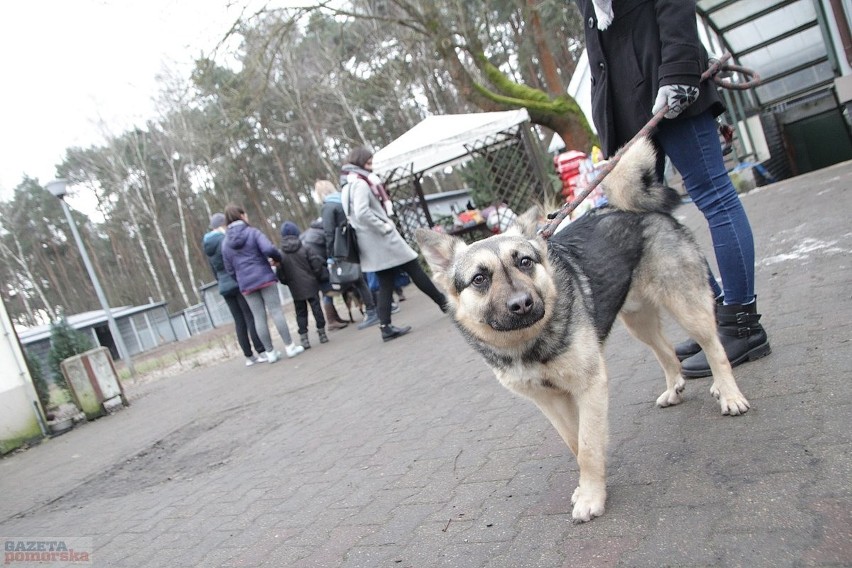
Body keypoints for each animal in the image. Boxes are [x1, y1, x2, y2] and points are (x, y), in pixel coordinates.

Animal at [416, 138, 748, 524]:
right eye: (480, 278)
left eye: (524, 262)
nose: (522, 304)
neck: (529, 344)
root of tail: (636, 209)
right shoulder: (550, 401)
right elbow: (575, 443)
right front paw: (587, 486)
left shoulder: (590, 386)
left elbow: (588, 446)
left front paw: (591, 498)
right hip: (638, 321)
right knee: (667, 353)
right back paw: (674, 388)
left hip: (687, 306)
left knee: (713, 347)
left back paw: (729, 393)